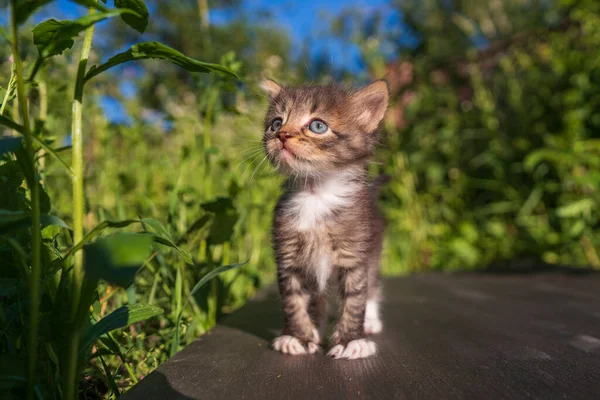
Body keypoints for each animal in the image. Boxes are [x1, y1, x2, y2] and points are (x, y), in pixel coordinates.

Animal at [262, 78, 390, 360]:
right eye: (276, 123)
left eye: (317, 126)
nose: (282, 135)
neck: (315, 194)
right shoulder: (288, 258)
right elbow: (293, 300)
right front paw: (298, 336)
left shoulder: (355, 256)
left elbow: (355, 300)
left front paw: (352, 340)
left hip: (374, 253)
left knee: (373, 287)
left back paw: (371, 321)